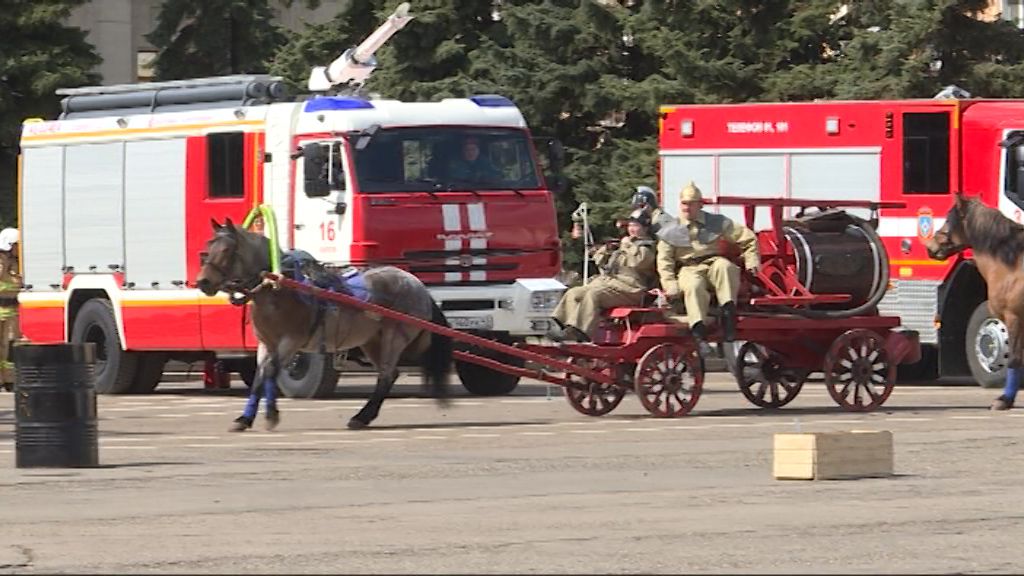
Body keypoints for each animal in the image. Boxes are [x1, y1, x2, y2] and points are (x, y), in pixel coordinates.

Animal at [195, 219, 452, 430]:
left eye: (227, 250)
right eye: (208, 247)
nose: (202, 282)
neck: (277, 287)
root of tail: (417, 284)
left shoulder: (291, 340)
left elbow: (270, 371)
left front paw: (270, 415)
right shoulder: (266, 343)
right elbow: (260, 375)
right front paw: (245, 418)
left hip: (394, 335)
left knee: (387, 375)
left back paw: (361, 416)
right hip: (372, 340)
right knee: (390, 372)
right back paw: (364, 417)